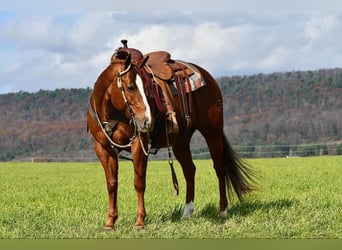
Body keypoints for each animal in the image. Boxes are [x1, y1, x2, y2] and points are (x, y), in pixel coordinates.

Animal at [87, 42, 255, 229]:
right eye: (130, 86)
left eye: (146, 87)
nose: (147, 120)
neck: (112, 112)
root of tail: (207, 77)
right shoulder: (102, 147)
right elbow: (111, 183)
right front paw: (110, 222)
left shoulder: (139, 142)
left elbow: (139, 182)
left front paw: (140, 221)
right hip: (181, 141)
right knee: (190, 170)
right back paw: (187, 212)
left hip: (212, 132)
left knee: (219, 167)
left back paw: (223, 210)